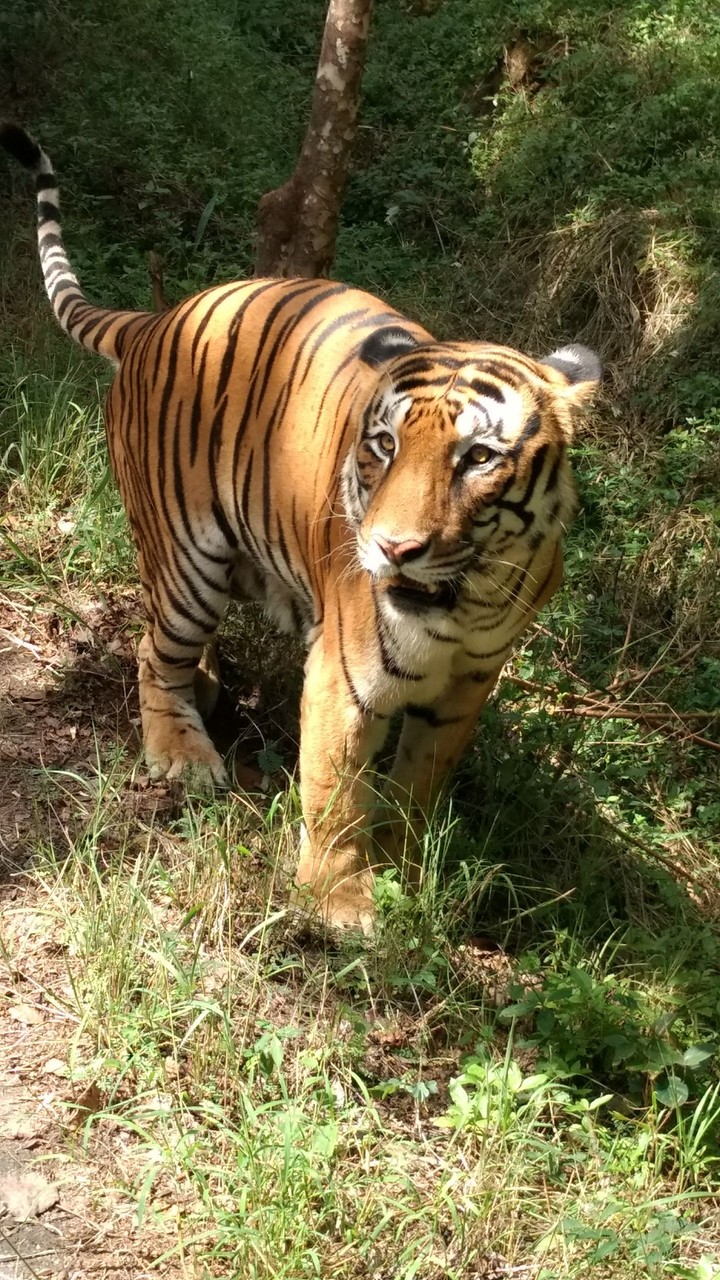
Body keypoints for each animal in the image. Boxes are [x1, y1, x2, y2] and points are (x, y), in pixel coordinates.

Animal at [1, 122, 600, 931]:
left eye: (477, 457)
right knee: (154, 652)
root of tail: (159, 319)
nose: (394, 549)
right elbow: (337, 791)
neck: (466, 601)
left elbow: (420, 785)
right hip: (187, 559)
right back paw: (184, 753)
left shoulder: (467, 688)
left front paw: (405, 870)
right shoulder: (345, 676)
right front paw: (342, 902)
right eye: (385, 445)